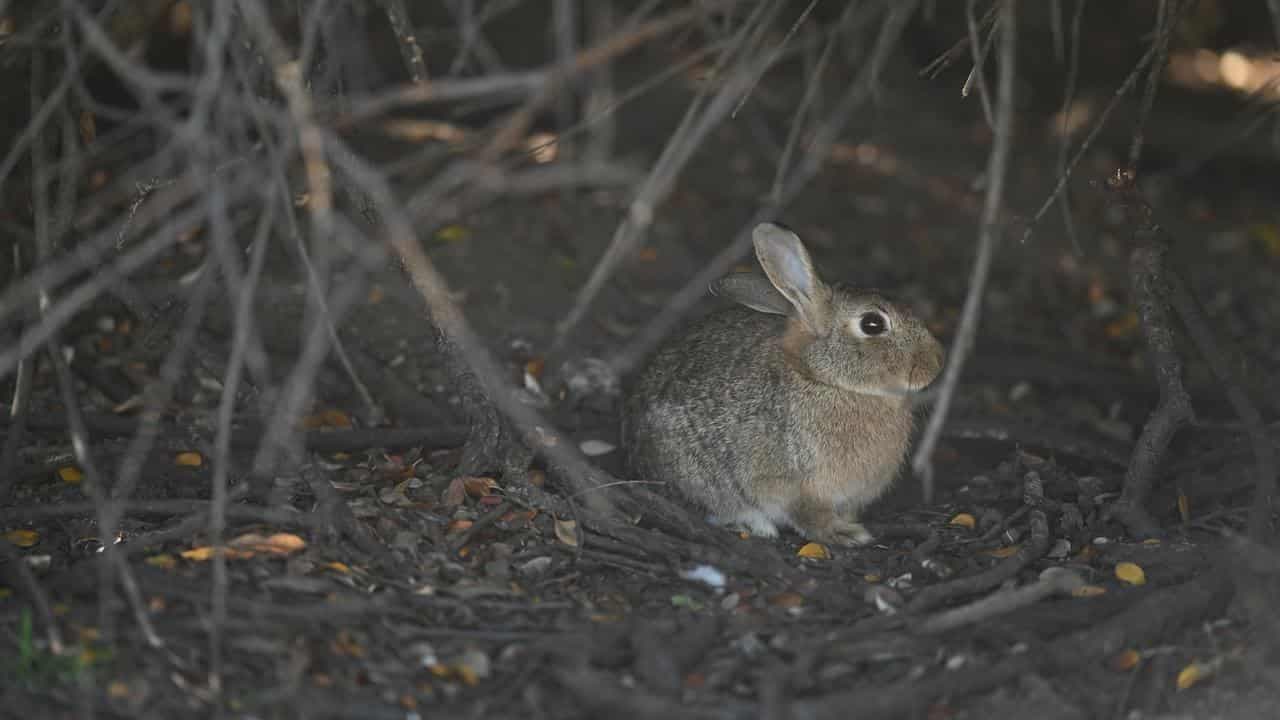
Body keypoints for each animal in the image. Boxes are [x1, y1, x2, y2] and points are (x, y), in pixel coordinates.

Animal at [622, 222, 945, 546]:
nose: (936, 362)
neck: (823, 379)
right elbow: (807, 515)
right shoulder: (795, 486)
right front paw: (845, 534)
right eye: (873, 324)